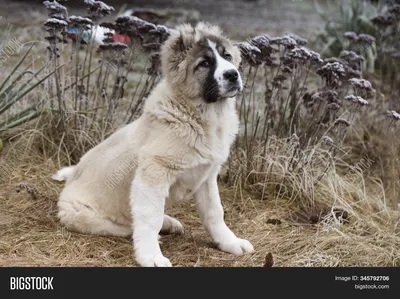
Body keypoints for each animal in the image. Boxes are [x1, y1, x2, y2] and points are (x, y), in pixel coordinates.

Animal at [52, 22, 253, 268]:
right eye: (205, 63)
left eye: (227, 56)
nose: (232, 74)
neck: (199, 116)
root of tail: (71, 178)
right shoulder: (153, 174)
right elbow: (149, 218)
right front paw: (151, 256)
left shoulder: (206, 176)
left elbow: (215, 212)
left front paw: (229, 242)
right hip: (80, 213)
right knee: (127, 224)